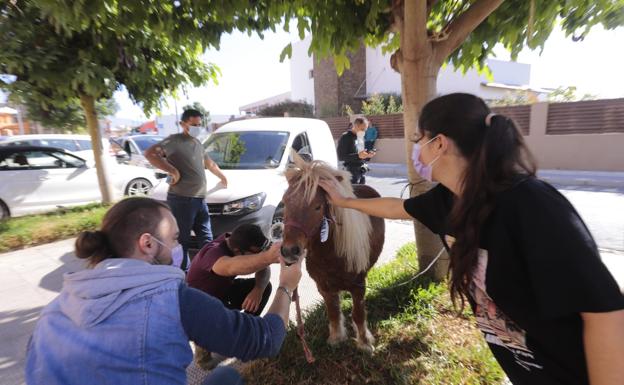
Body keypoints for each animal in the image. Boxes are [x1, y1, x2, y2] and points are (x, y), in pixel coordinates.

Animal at [280, 157, 386, 352]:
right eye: (284, 202)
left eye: (317, 206)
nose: (289, 251)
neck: (330, 256)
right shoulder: (324, 287)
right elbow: (333, 312)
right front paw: (336, 338)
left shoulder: (359, 287)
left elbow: (358, 314)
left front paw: (364, 343)